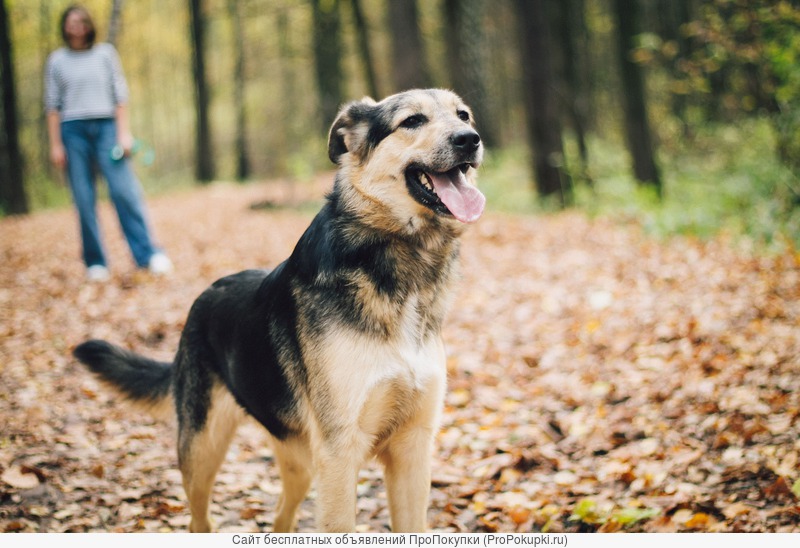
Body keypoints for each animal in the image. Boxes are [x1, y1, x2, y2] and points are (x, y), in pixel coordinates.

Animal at [75, 89, 484, 532]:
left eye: (463, 115)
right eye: (411, 121)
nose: (470, 139)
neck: (401, 265)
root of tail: (200, 302)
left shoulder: (412, 450)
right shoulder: (341, 454)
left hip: (301, 464)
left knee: (280, 516)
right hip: (202, 453)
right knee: (199, 517)